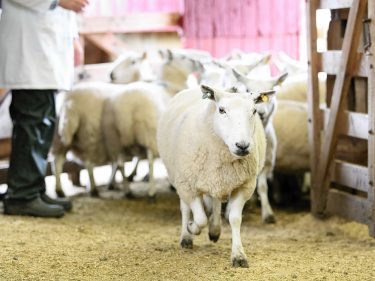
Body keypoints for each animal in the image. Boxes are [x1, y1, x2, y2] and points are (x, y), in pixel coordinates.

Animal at [157, 83, 274, 266]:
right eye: (221, 110)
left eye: (254, 111)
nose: (242, 145)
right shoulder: (188, 186)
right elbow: (200, 218)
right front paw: (191, 228)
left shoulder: (244, 186)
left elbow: (235, 219)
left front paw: (238, 255)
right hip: (180, 177)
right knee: (185, 208)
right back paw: (186, 237)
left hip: (218, 178)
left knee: (216, 201)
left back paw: (215, 230)